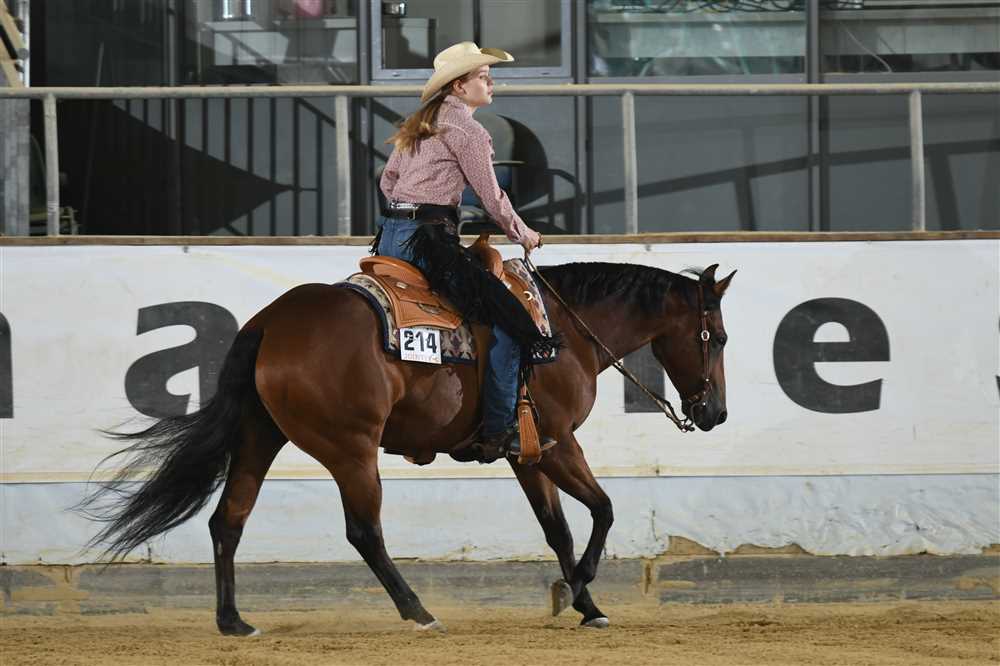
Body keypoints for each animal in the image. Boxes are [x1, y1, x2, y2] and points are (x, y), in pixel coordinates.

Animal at [80, 259, 735, 635]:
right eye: (720, 336)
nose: (716, 413)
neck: (561, 332)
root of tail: (269, 321)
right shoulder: (557, 443)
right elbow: (602, 510)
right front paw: (582, 591)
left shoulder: (526, 450)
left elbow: (559, 530)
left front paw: (584, 603)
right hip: (350, 448)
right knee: (363, 531)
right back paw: (417, 611)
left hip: (260, 436)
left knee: (228, 519)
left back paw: (233, 621)